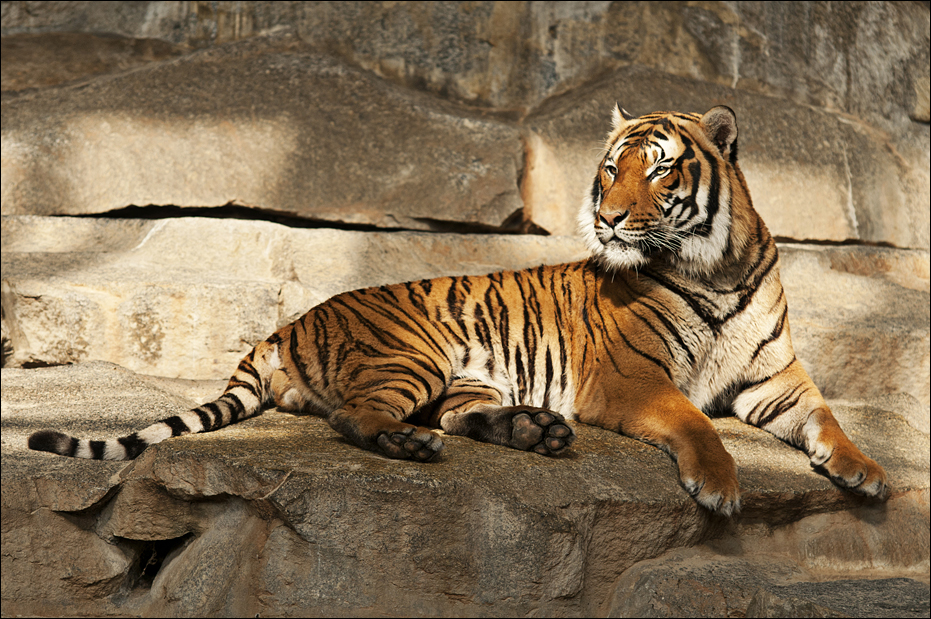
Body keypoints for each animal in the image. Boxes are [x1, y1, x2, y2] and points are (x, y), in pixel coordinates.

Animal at [28, 105, 888, 516]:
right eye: (609, 170)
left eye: (657, 171)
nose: (608, 218)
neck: (715, 266)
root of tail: (284, 325)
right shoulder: (630, 378)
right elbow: (695, 423)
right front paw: (718, 485)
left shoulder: (777, 377)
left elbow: (828, 417)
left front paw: (867, 472)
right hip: (412, 354)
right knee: (358, 418)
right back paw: (416, 446)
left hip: (468, 376)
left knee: (458, 414)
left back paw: (533, 430)